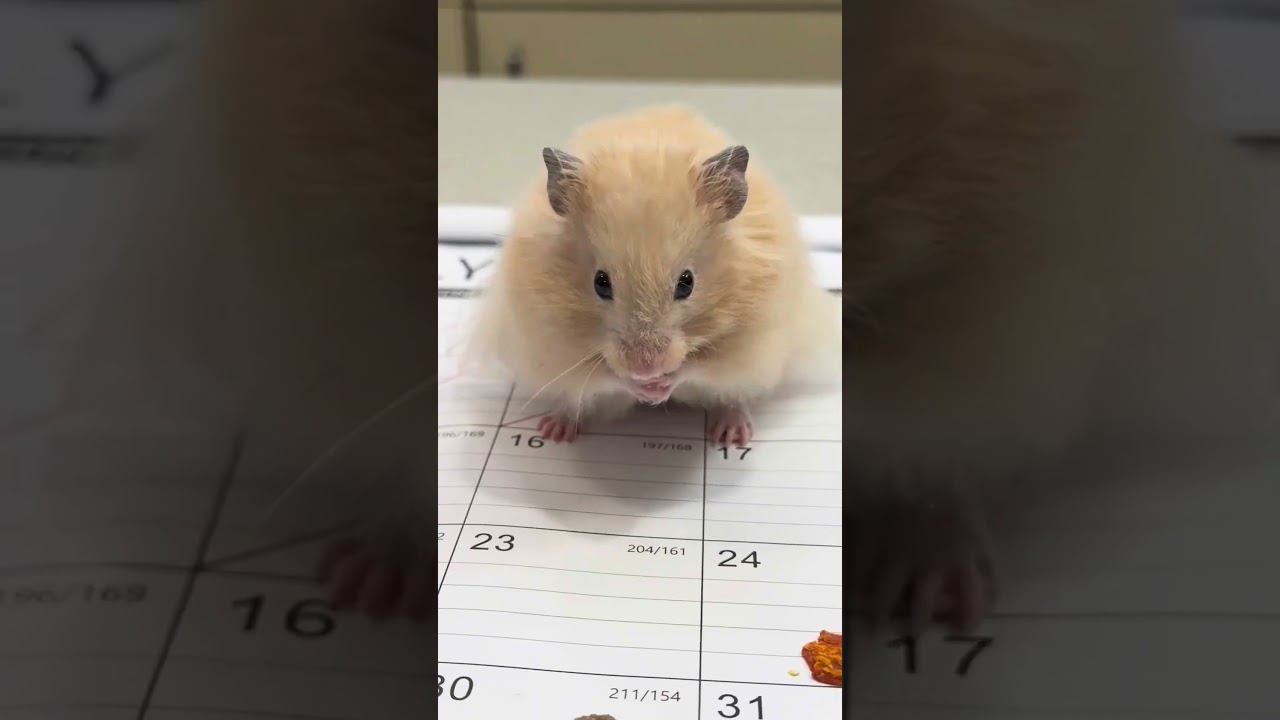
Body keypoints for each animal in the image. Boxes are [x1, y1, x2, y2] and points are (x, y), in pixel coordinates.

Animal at [469, 105, 838, 445]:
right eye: (600, 282)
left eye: (687, 282)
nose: (645, 369)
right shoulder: (550, 342)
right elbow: (607, 375)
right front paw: (644, 389)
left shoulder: (751, 342)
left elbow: (696, 368)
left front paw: (660, 388)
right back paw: (554, 430)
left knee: (732, 397)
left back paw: (733, 435)